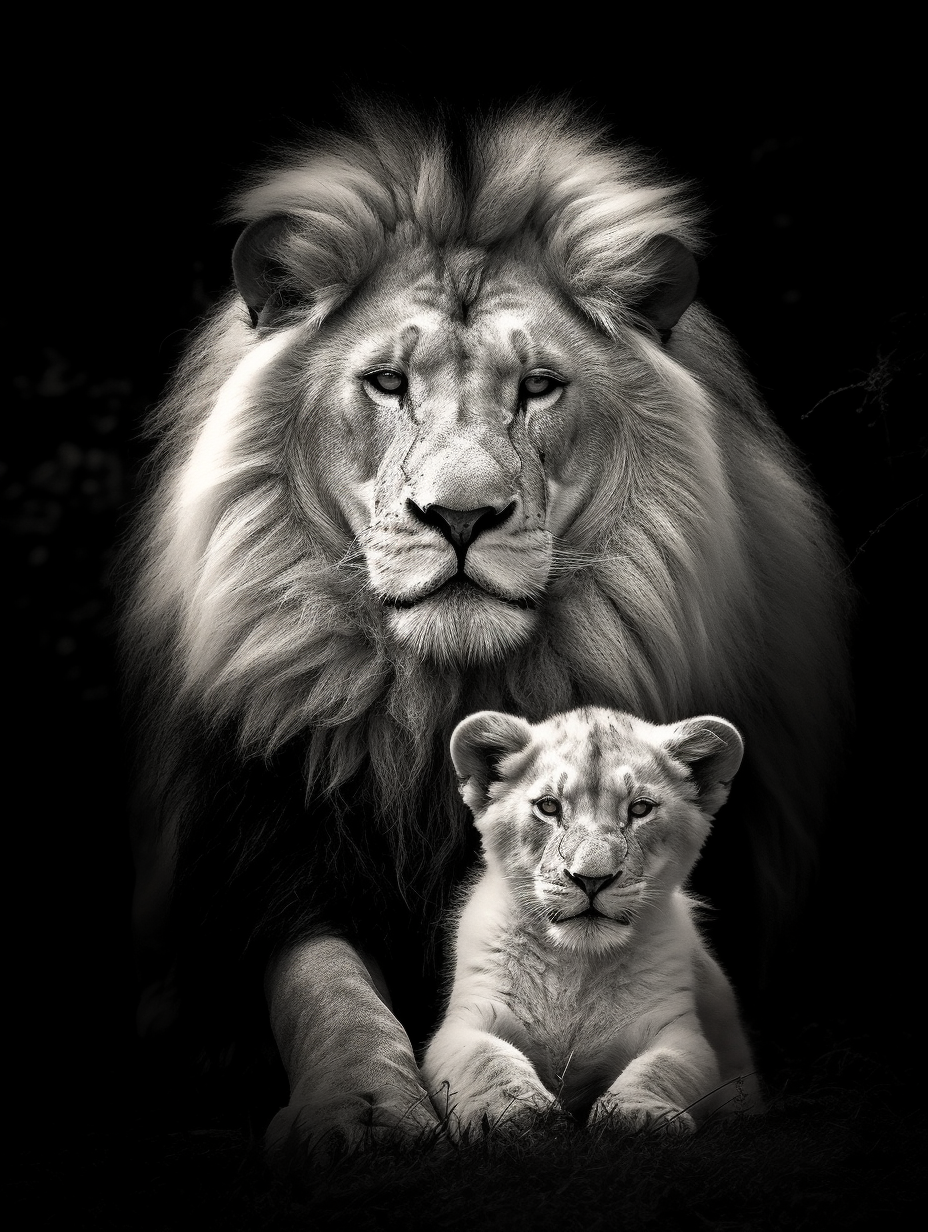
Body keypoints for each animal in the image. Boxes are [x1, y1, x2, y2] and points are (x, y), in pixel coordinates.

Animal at [423, 706, 762, 1138]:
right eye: (549, 807)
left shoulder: (678, 1032)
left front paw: (638, 1115)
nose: (592, 879)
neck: (577, 963)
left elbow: (662, 1068)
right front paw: (516, 1114)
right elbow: (487, 1060)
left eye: (640, 809)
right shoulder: (468, 1021)